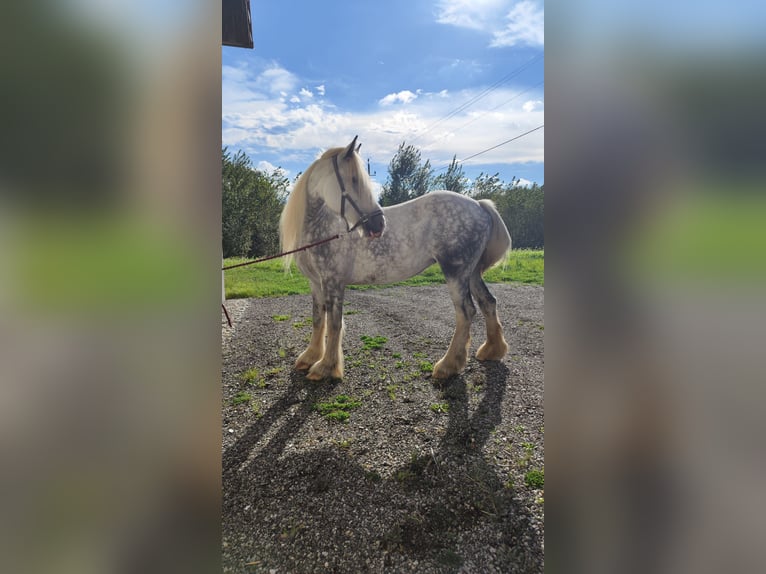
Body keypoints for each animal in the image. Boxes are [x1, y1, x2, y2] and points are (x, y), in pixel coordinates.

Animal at [279, 136, 511, 381]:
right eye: (353, 179)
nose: (378, 225)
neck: (322, 228)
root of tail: (479, 205)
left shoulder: (333, 282)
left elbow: (334, 323)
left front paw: (326, 367)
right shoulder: (316, 283)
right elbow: (318, 319)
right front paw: (310, 357)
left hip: (456, 271)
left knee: (466, 312)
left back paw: (447, 366)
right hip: (471, 272)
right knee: (488, 302)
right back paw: (492, 350)